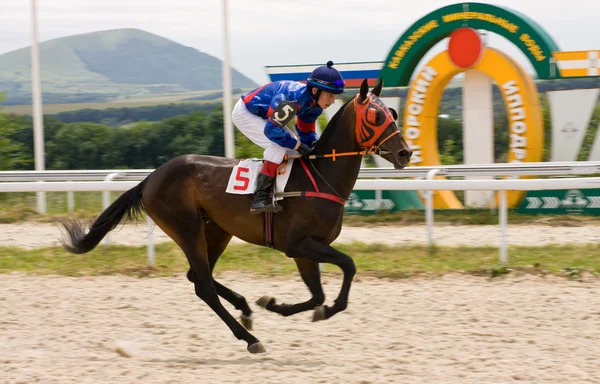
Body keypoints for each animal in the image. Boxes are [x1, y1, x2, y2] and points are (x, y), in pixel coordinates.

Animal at [59, 78, 412, 354]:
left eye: (393, 113)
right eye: (374, 115)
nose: (405, 153)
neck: (321, 176)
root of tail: (151, 178)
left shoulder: (306, 249)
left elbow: (318, 294)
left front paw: (276, 305)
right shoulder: (297, 245)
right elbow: (347, 267)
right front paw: (305, 309)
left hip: (216, 231)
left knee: (197, 277)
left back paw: (245, 308)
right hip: (187, 229)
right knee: (203, 286)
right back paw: (249, 338)